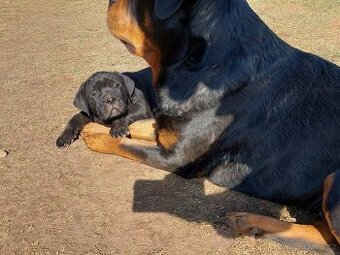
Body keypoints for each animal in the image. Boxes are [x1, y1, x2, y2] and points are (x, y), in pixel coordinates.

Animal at [82, 0, 340, 248]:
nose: (109, 2)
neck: (203, 66)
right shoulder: (169, 128)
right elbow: (140, 127)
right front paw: (101, 126)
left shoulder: (177, 158)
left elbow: (128, 146)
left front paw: (94, 135)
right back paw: (250, 222)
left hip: (333, 180)